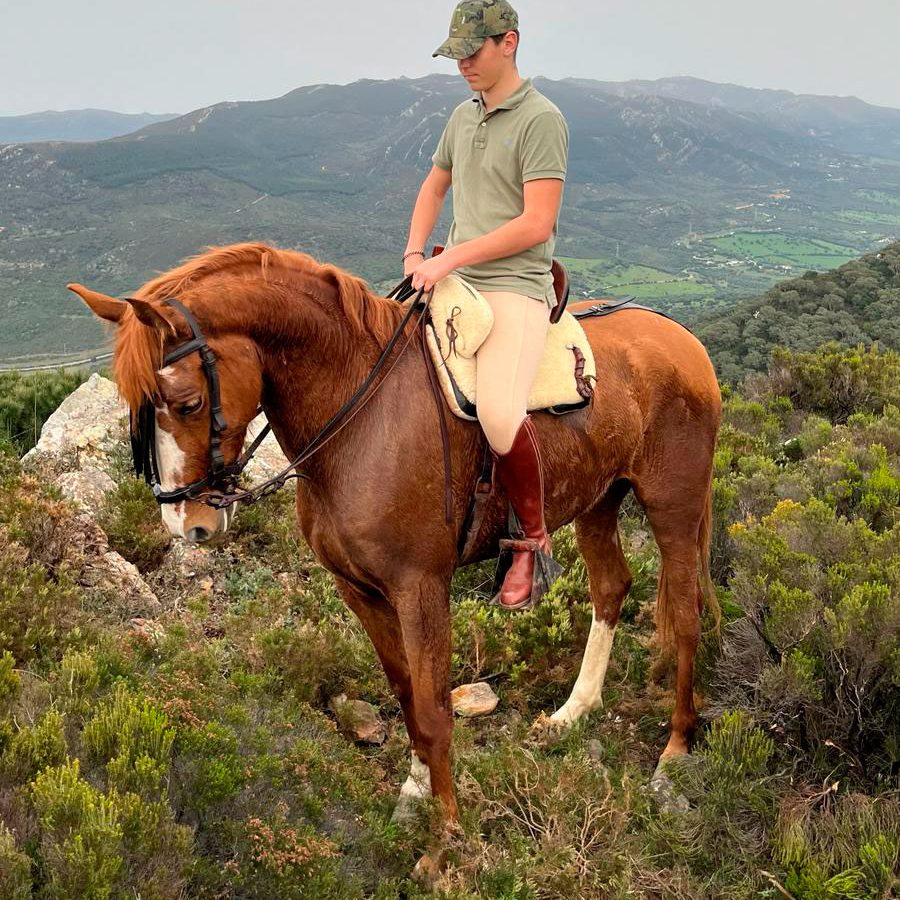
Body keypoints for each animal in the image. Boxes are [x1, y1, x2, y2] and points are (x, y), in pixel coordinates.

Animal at [68, 241, 716, 864]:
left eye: (186, 403)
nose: (188, 523)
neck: (360, 417)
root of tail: (680, 338)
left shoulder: (420, 589)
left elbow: (432, 712)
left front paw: (444, 839)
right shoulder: (360, 590)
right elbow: (406, 695)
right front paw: (416, 789)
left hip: (674, 510)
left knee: (685, 614)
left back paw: (676, 751)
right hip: (599, 502)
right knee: (611, 588)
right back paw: (573, 713)